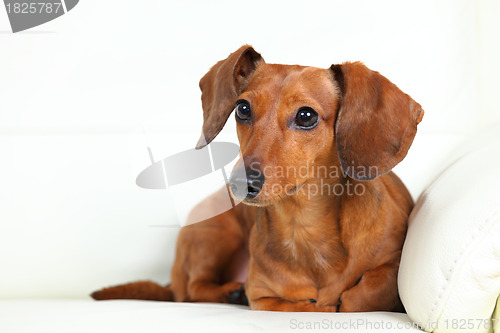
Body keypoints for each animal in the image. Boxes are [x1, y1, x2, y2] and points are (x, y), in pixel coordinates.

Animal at [92, 44, 424, 312]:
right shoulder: (263, 298)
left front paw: (345, 298)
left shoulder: (392, 262)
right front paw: (317, 303)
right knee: (193, 289)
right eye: (242, 108)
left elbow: (363, 293)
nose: (240, 185)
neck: (302, 227)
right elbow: (305, 305)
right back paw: (230, 292)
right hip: (217, 232)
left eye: (306, 116)